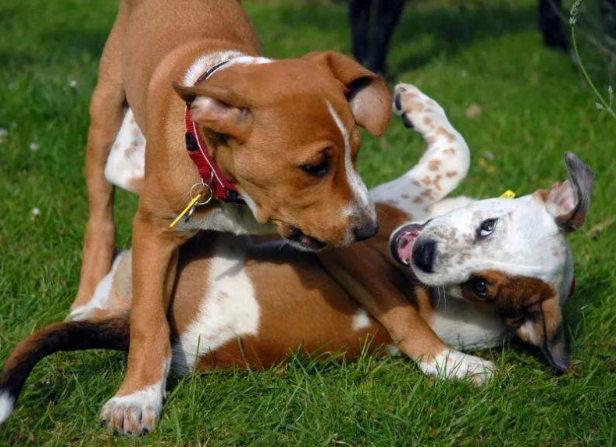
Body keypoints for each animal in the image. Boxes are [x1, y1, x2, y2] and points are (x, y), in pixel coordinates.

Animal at [72, 0, 390, 436]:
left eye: (354, 154)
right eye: (314, 167)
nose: (368, 229)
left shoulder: (322, 232)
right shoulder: (154, 231)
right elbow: (149, 318)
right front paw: (136, 397)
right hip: (105, 107)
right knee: (100, 211)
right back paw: (85, 295)